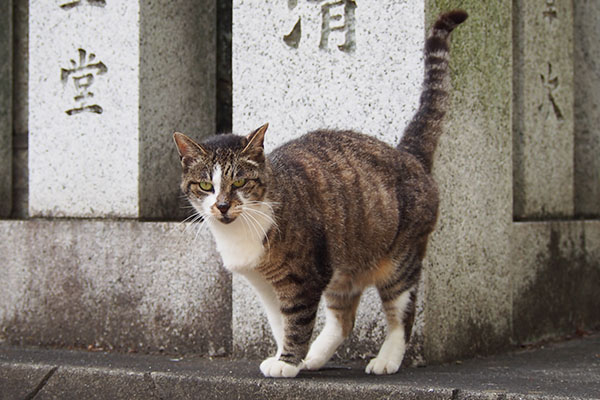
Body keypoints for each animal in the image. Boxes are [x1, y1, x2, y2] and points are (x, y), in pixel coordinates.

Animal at [173, 10, 468, 378]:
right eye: (205, 186)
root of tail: (407, 154)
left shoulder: (304, 275)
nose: (223, 206)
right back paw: (314, 357)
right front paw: (288, 356)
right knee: (344, 318)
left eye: (239, 183)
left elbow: (297, 321)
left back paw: (386, 359)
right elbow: (279, 323)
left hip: (400, 258)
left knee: (402, 311)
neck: (241, 231)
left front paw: (287, 363)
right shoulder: (265, 283)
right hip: (343, 264)